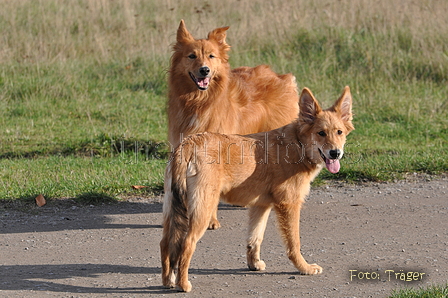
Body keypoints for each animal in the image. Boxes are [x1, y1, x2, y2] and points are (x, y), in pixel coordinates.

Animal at [160, 86, 354, 292]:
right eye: (321, 133)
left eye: (339, 132)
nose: (335, 153)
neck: (297, 144)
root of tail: (188, 144)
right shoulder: (289, 205)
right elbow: (294, 243)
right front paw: (304, 268)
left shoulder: (261, 207)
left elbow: (254, 239)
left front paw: (253, 263)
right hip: (201, 211)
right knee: (186, 244)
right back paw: (183, 283)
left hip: (172, 210)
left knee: (165, 243)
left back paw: (168, 281)